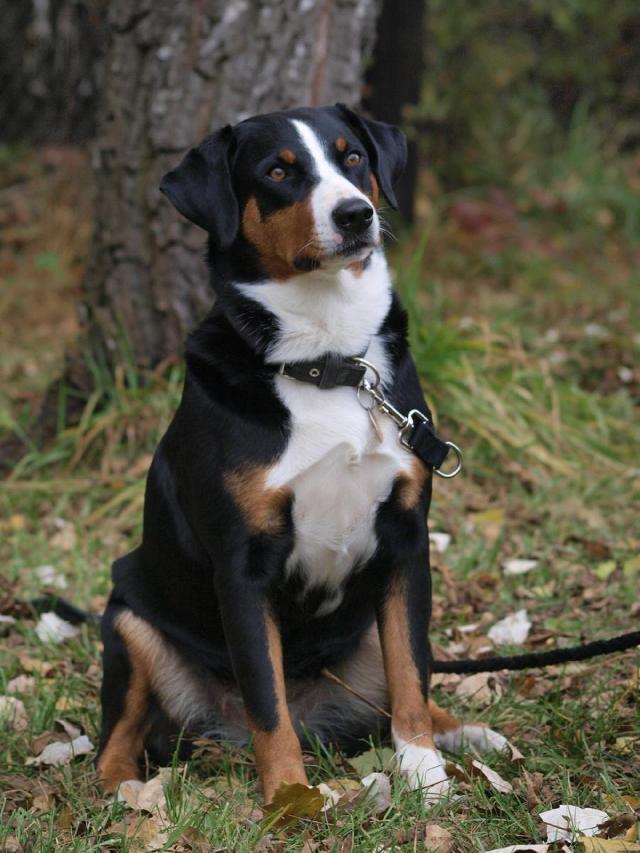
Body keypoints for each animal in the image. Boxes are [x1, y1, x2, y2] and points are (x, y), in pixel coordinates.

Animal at [97, 103, 506, 805]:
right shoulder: (243, 566)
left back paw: (469, 734)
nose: (355, 215)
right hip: (126, 618)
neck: (329, 361)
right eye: (278, 171)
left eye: (353, 158)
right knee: (117, 736)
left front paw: (426, 776)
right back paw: (122, 793)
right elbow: (268, 700)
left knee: (412, 679)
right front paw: (291, 800)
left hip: (363, 631)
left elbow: (411, 672)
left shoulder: (405, 542)